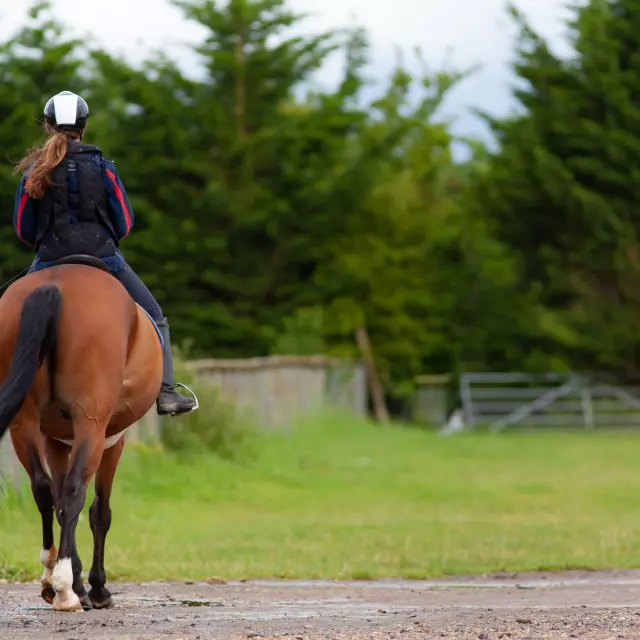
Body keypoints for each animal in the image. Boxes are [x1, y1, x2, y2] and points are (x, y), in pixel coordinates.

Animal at [0, 254, 164, 612]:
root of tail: (55, 283)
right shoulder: (112, 440)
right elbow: (99, 512)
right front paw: (96, 588)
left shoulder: (55, 441)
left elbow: (60, 502)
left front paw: (76, 583)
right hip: (92, 424)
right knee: (75, 492)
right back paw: (64, 589)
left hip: (23, 424)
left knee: (44, 490)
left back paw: (52, 575)